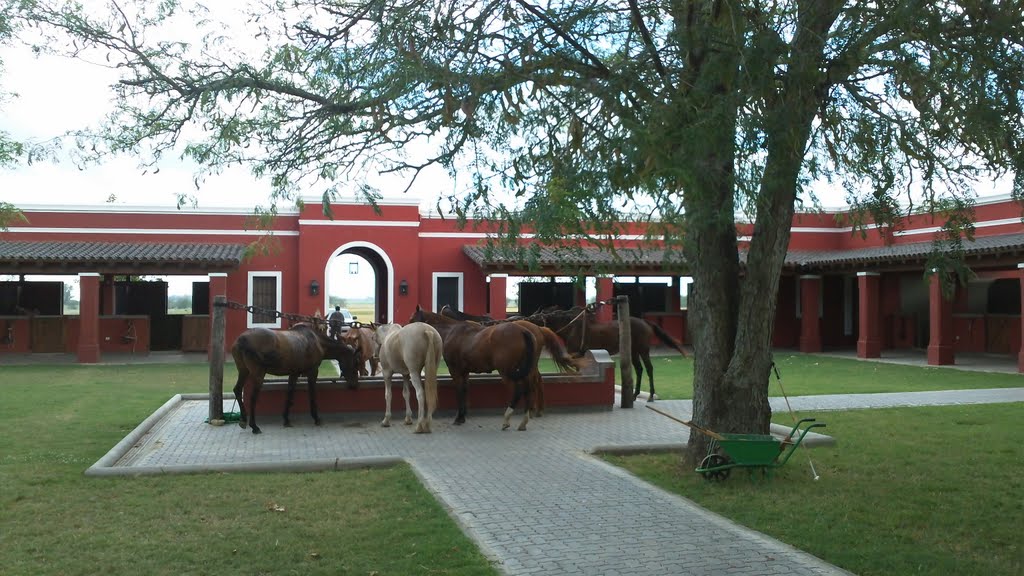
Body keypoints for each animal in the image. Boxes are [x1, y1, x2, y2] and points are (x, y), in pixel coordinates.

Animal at [230, 319, 362, 432]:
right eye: (356, 363)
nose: (354, 385)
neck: (317, 341)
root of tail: (242, 339)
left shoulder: (294, 373)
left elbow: (290, 394)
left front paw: (286, 419)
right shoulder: (313, 371)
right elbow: (312, 394)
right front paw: (316, 418)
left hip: (243, 371)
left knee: (237, 390)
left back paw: (243, 420)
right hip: (258, 374)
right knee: (253, 397)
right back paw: (254, 426)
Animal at [407, 303, 540, 428]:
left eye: (411, 319)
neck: (451, 331)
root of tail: (522, 331)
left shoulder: (455, 370)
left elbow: (460, 390)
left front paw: (459, 417)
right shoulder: (465, 371)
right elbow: (465, 389)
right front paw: (462, 415)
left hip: (506, 372)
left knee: (518, 391)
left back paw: (507, 418)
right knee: (528, 389)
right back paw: (524, 420)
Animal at [536, 307, 688, 401]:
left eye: (536, 317)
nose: (528, 320)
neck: (572, 327)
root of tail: (645, 322)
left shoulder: (577, 354)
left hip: (643, 350)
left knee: (649, 368)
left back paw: (650, 395)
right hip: (633, 351)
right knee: (639, 369)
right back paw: (634, 394)